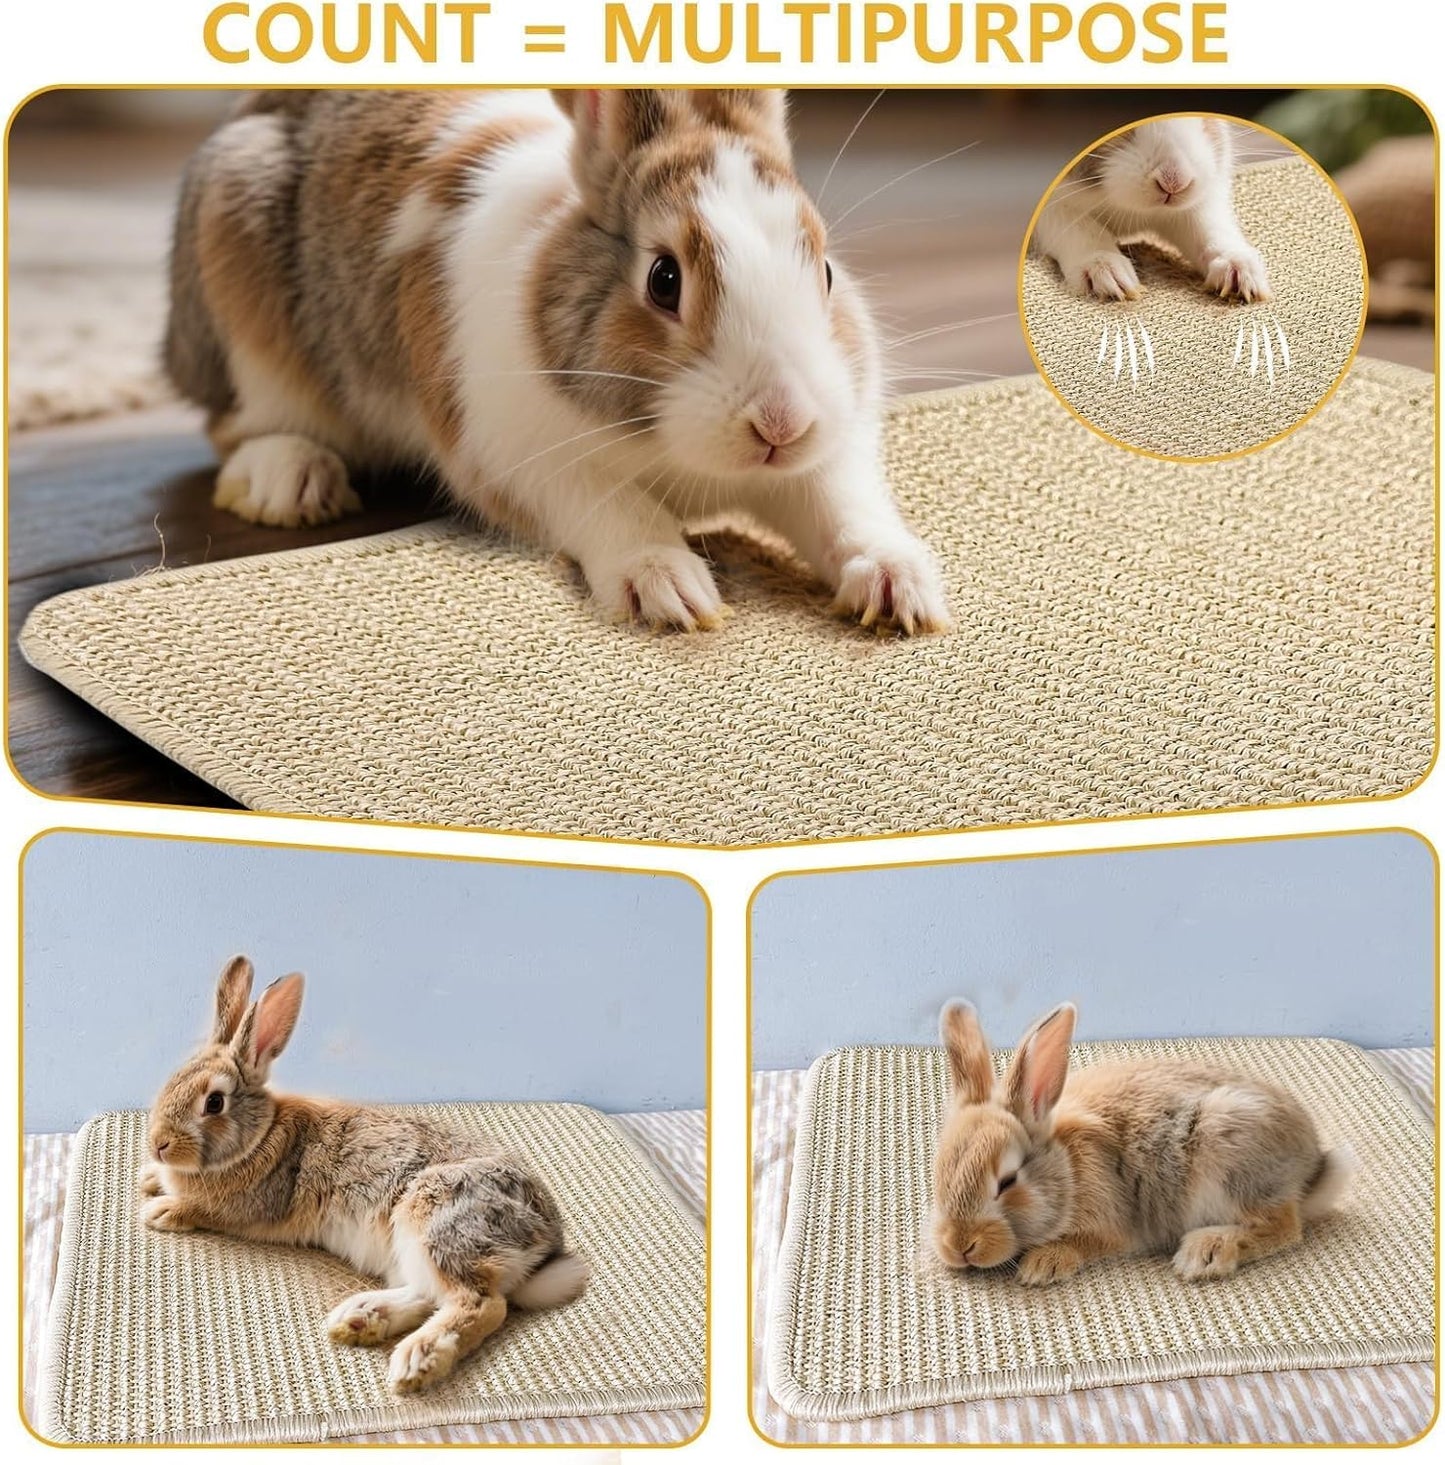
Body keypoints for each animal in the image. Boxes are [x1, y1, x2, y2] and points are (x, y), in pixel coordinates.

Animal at [138, 956, 588, 1395]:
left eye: (214, 1103)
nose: (158, 1143)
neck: (261, 1133)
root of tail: (545, 1241)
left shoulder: (248, 1206)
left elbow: (202, 1209)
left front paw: (161, 1211)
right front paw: (149, 1177)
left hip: (435, 1218)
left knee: (482, 1303)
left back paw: (416, 1360)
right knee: (432, 1293)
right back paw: (362, 1318)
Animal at [165, 89, 951, 635]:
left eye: (825, 270)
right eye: (664, 279)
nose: (780, 423)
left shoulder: (828, 455)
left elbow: (841, 507)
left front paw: (901, 586)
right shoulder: (526, 461)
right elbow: (618, 510)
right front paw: (669, 589)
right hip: (238, 283)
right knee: (241, 424)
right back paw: (290, 482)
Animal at [930, 1000, 1355, 1286]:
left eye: (1007, 1181)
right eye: (938, 1177)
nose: (959, 1246)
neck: (1069, 1170)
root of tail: (1311, 1169)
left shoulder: (1113, 1225)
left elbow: (1088, 1243)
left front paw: (1043, 1265)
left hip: (1230, 1157)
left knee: (1284, 1226)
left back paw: (1205, 1252)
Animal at [1033, 115, 1271, 304]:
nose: (1174, 183)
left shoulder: (1200, 202)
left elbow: (1208, 228)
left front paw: (1240, 272)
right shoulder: (1053, 208)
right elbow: (1079, 228)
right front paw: (1106, 273)